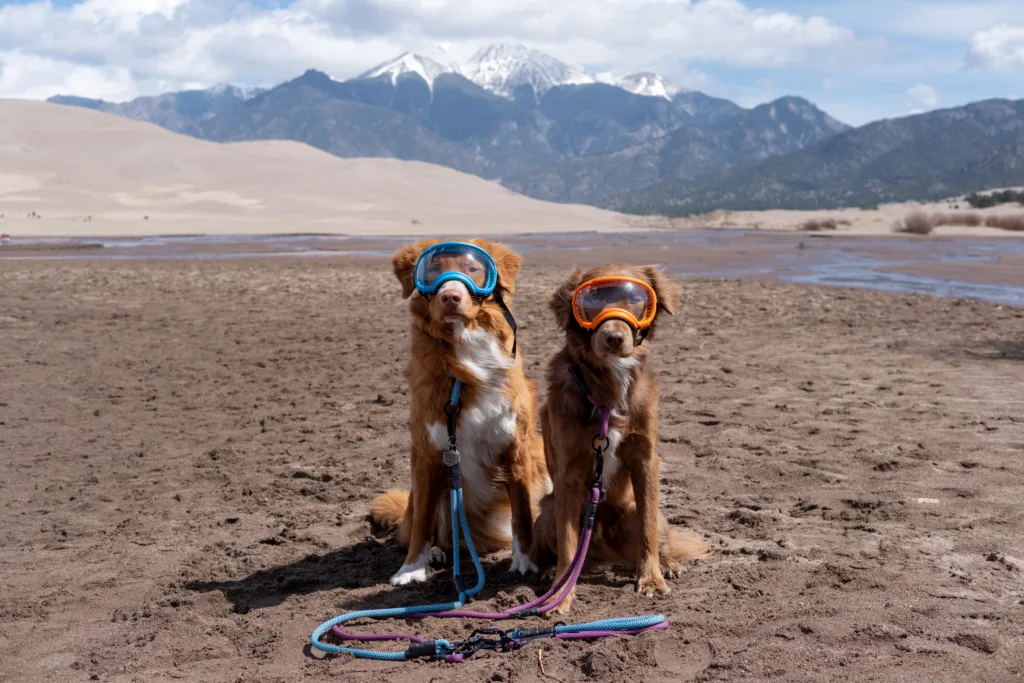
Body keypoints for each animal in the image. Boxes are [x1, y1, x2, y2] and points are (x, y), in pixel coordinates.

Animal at [370, 237, 548, 585]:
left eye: (473, 268)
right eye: (433, 269)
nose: (450, 296)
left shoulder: (516, 447)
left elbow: (522, 514)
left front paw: (525, 562)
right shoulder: (428, 454)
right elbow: (423, 521)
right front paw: (411, 569)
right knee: (428, 527)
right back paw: (437, 553)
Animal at [528, 262, 704, 614]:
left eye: (635, 300)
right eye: (591, 303)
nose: (613, 337)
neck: (609, 390)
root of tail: (604, 550)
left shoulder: (645, 460)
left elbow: (648, 530)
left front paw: (650, 579)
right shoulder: (569, 474)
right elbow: (569, 543)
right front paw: (559, 594)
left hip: (636, 513)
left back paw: (666, 564)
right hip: (548, 511)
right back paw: (547, 572)